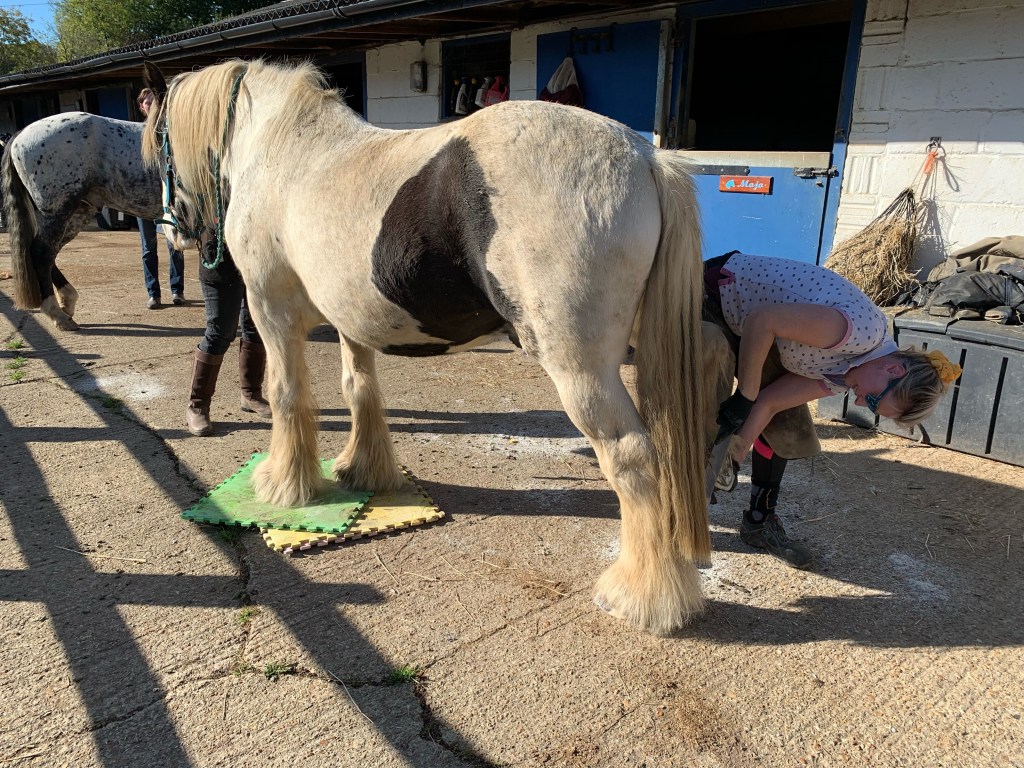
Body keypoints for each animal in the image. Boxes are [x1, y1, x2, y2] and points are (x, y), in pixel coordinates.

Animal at [2, 112, 163, 330]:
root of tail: (20, 134)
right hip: (58, 213)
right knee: (42, 253)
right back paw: (57, 314)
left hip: (75, 215)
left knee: (48, 254)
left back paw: (66, 303)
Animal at [142, 59, 714, 635]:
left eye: (160, 135)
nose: (175, 231)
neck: (282, 147)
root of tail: (644, 156)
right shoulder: (352, 321)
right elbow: (359, 390)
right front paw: (363, 471)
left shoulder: (271, 311)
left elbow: (288, 397)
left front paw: (284, 485)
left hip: (581, 369)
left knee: (632, 456)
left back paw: (641, 597)